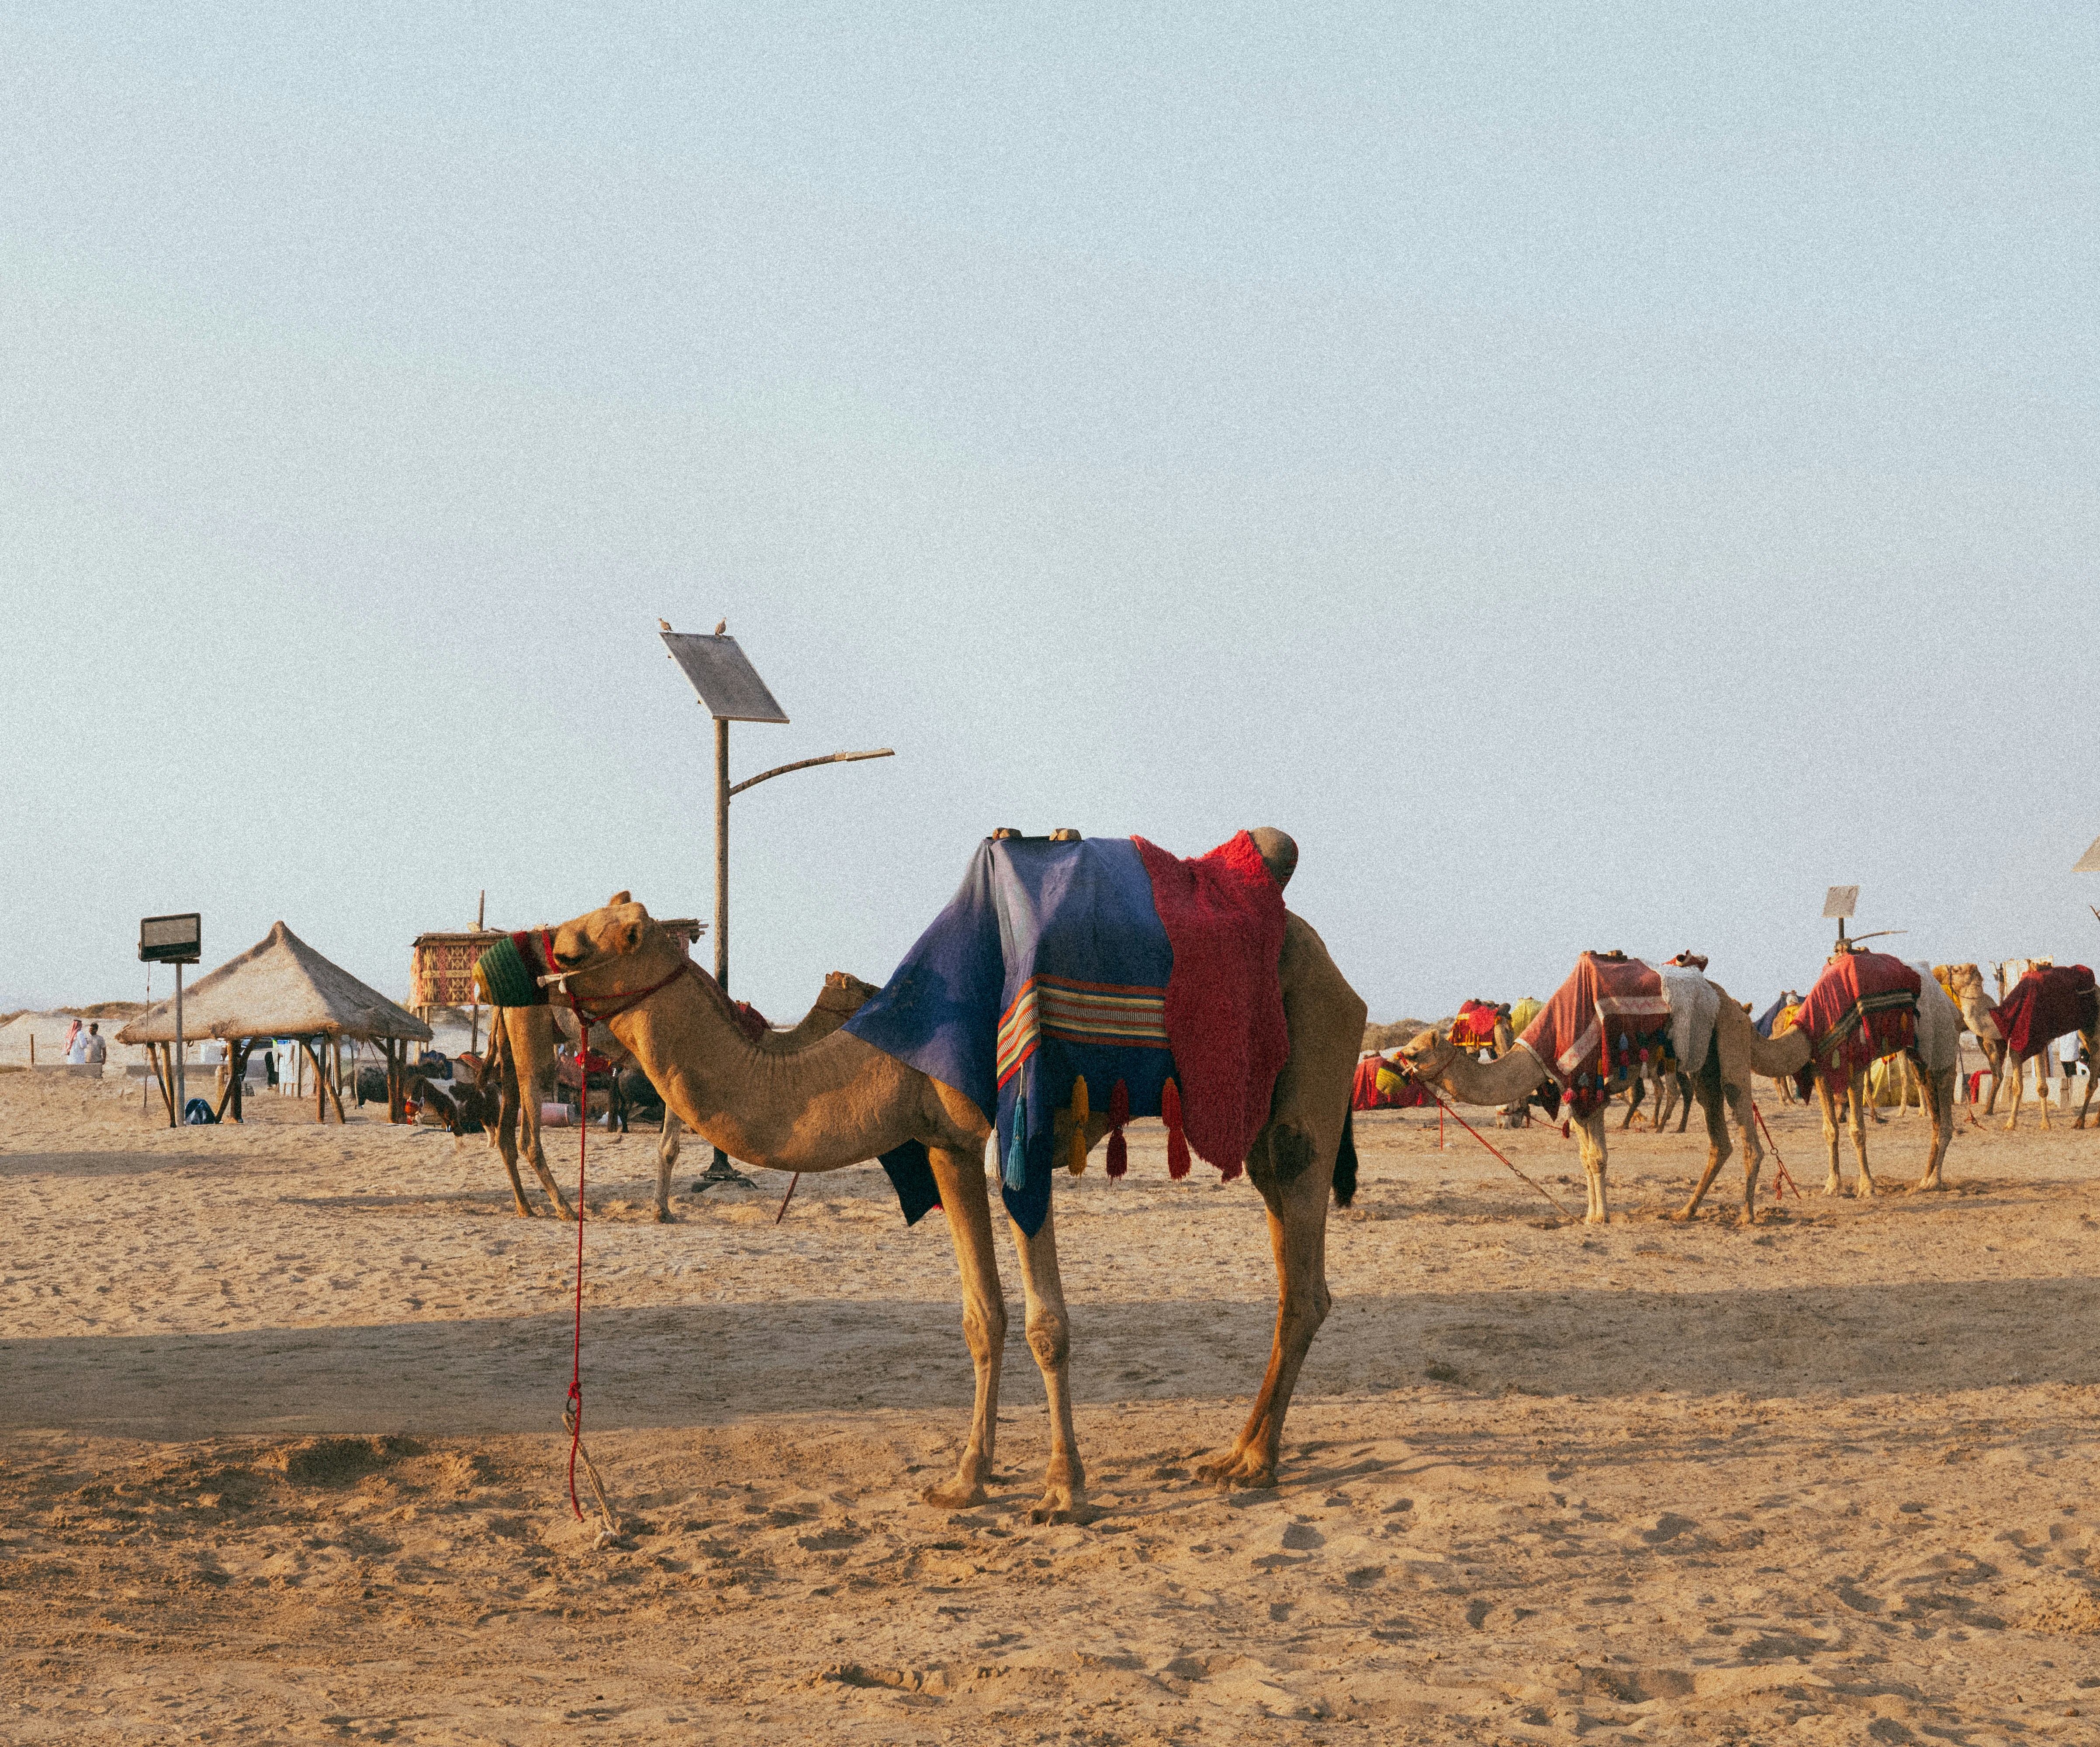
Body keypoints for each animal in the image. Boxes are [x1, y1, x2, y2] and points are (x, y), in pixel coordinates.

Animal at [485, 972, 877, 1221]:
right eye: (860, 986)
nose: (880, 991)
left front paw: (662, 1208)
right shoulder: (682, 1081)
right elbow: (671, 1148)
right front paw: (663, 1212)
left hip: (510, 1043)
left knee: (505, 1128)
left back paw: (526, 1208)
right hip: (533, 1039)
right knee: (529, 1130)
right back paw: (564, 1208)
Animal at [541, 836, 1364, 1517]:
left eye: (581, 945)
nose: (539, 966)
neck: (880, 1052)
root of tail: (1334, 967)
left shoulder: (1021, 1138)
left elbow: (1045, 1324)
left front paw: (1062, 1491)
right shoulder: (946, 1146)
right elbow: (982, 1317)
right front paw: (966, 1479)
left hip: (1312, 1060)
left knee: (1302, 1277)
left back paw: (1251, 1464)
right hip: (1259, 1124)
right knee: (1292, 1261)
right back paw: (1239, 1454)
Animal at [1398, 974, 1810, 1224]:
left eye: (1414, 1053)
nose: (1399, 1066)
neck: (1538, 1051)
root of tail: (1736, 1006)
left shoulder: (1587, 1088)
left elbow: (1596, 1157)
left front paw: (1601, 1217)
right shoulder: (1578, 1095)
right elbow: (1587, 1158)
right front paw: (1591, 1216)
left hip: (1729, 1046)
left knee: (1746, 1128)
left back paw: (1746, 1216)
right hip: (1701, 1065)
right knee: (1718, 1140)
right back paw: (1685, 1212)